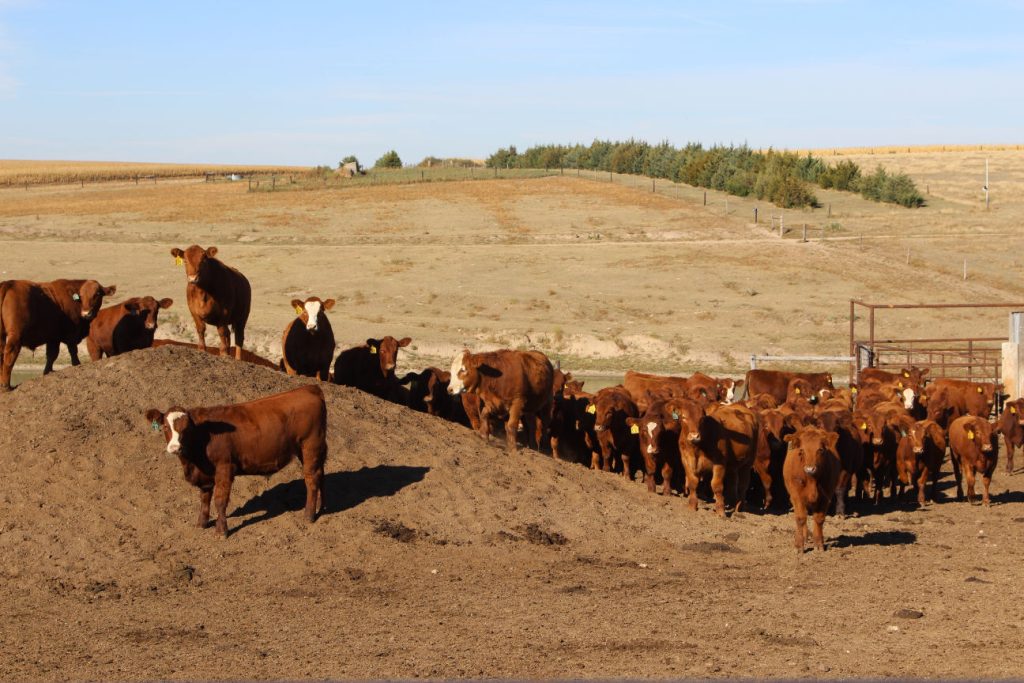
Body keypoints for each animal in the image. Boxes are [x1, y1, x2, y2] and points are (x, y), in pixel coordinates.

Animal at [144, 385, 325, 540]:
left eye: (186, 429)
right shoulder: (205, 474)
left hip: (310, 445)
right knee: (320, 475)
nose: (175, 447)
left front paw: (221, 530)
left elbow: (220, 500)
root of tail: (309, 388)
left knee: (311, 478)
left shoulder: (224, 467)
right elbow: (204, 498)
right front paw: (201, 523)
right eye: (165, 427)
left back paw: (309, 515)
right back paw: (321, 507)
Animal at [782, 428, 839, 557]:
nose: (810, 469)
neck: (811, 479)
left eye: (820, 450)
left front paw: (819, 545)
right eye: (801, 450)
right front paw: (799, 546)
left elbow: (819, 519)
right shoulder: (797, 496)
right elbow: (800, 518)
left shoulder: (826, 496)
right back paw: (804, 536)